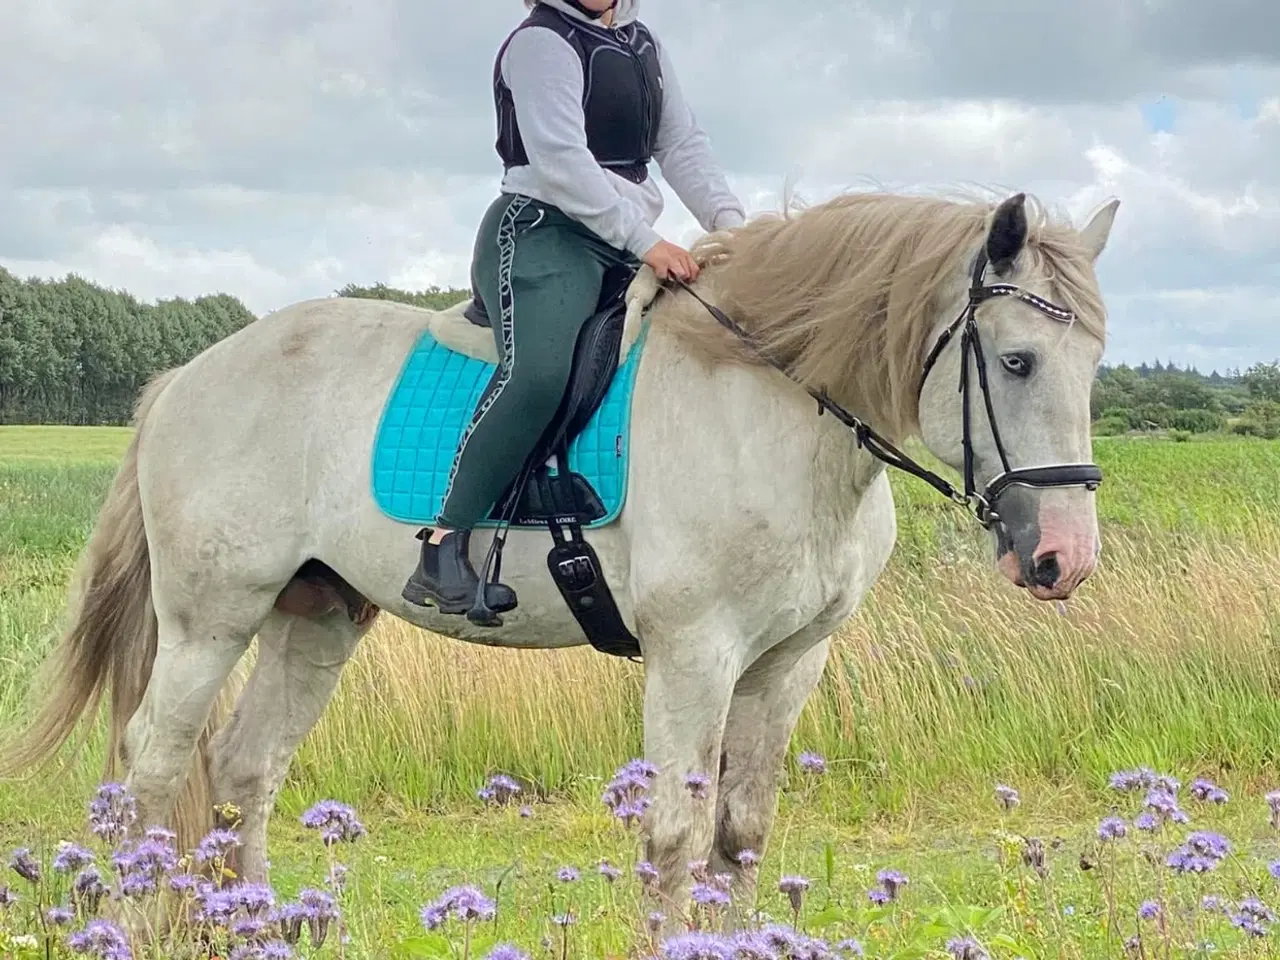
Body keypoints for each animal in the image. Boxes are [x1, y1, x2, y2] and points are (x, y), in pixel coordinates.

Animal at [0, 184, 1116, 926]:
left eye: (1094, 361)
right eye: (1017, 360)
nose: (1062, 559)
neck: (772, 409)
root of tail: (184, 377)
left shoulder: (786, 665)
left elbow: (740, 840)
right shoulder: (692, 656)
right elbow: (672, 839)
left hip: (314, 617)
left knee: (243, 770)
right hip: (210, 620)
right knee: (152, 768)